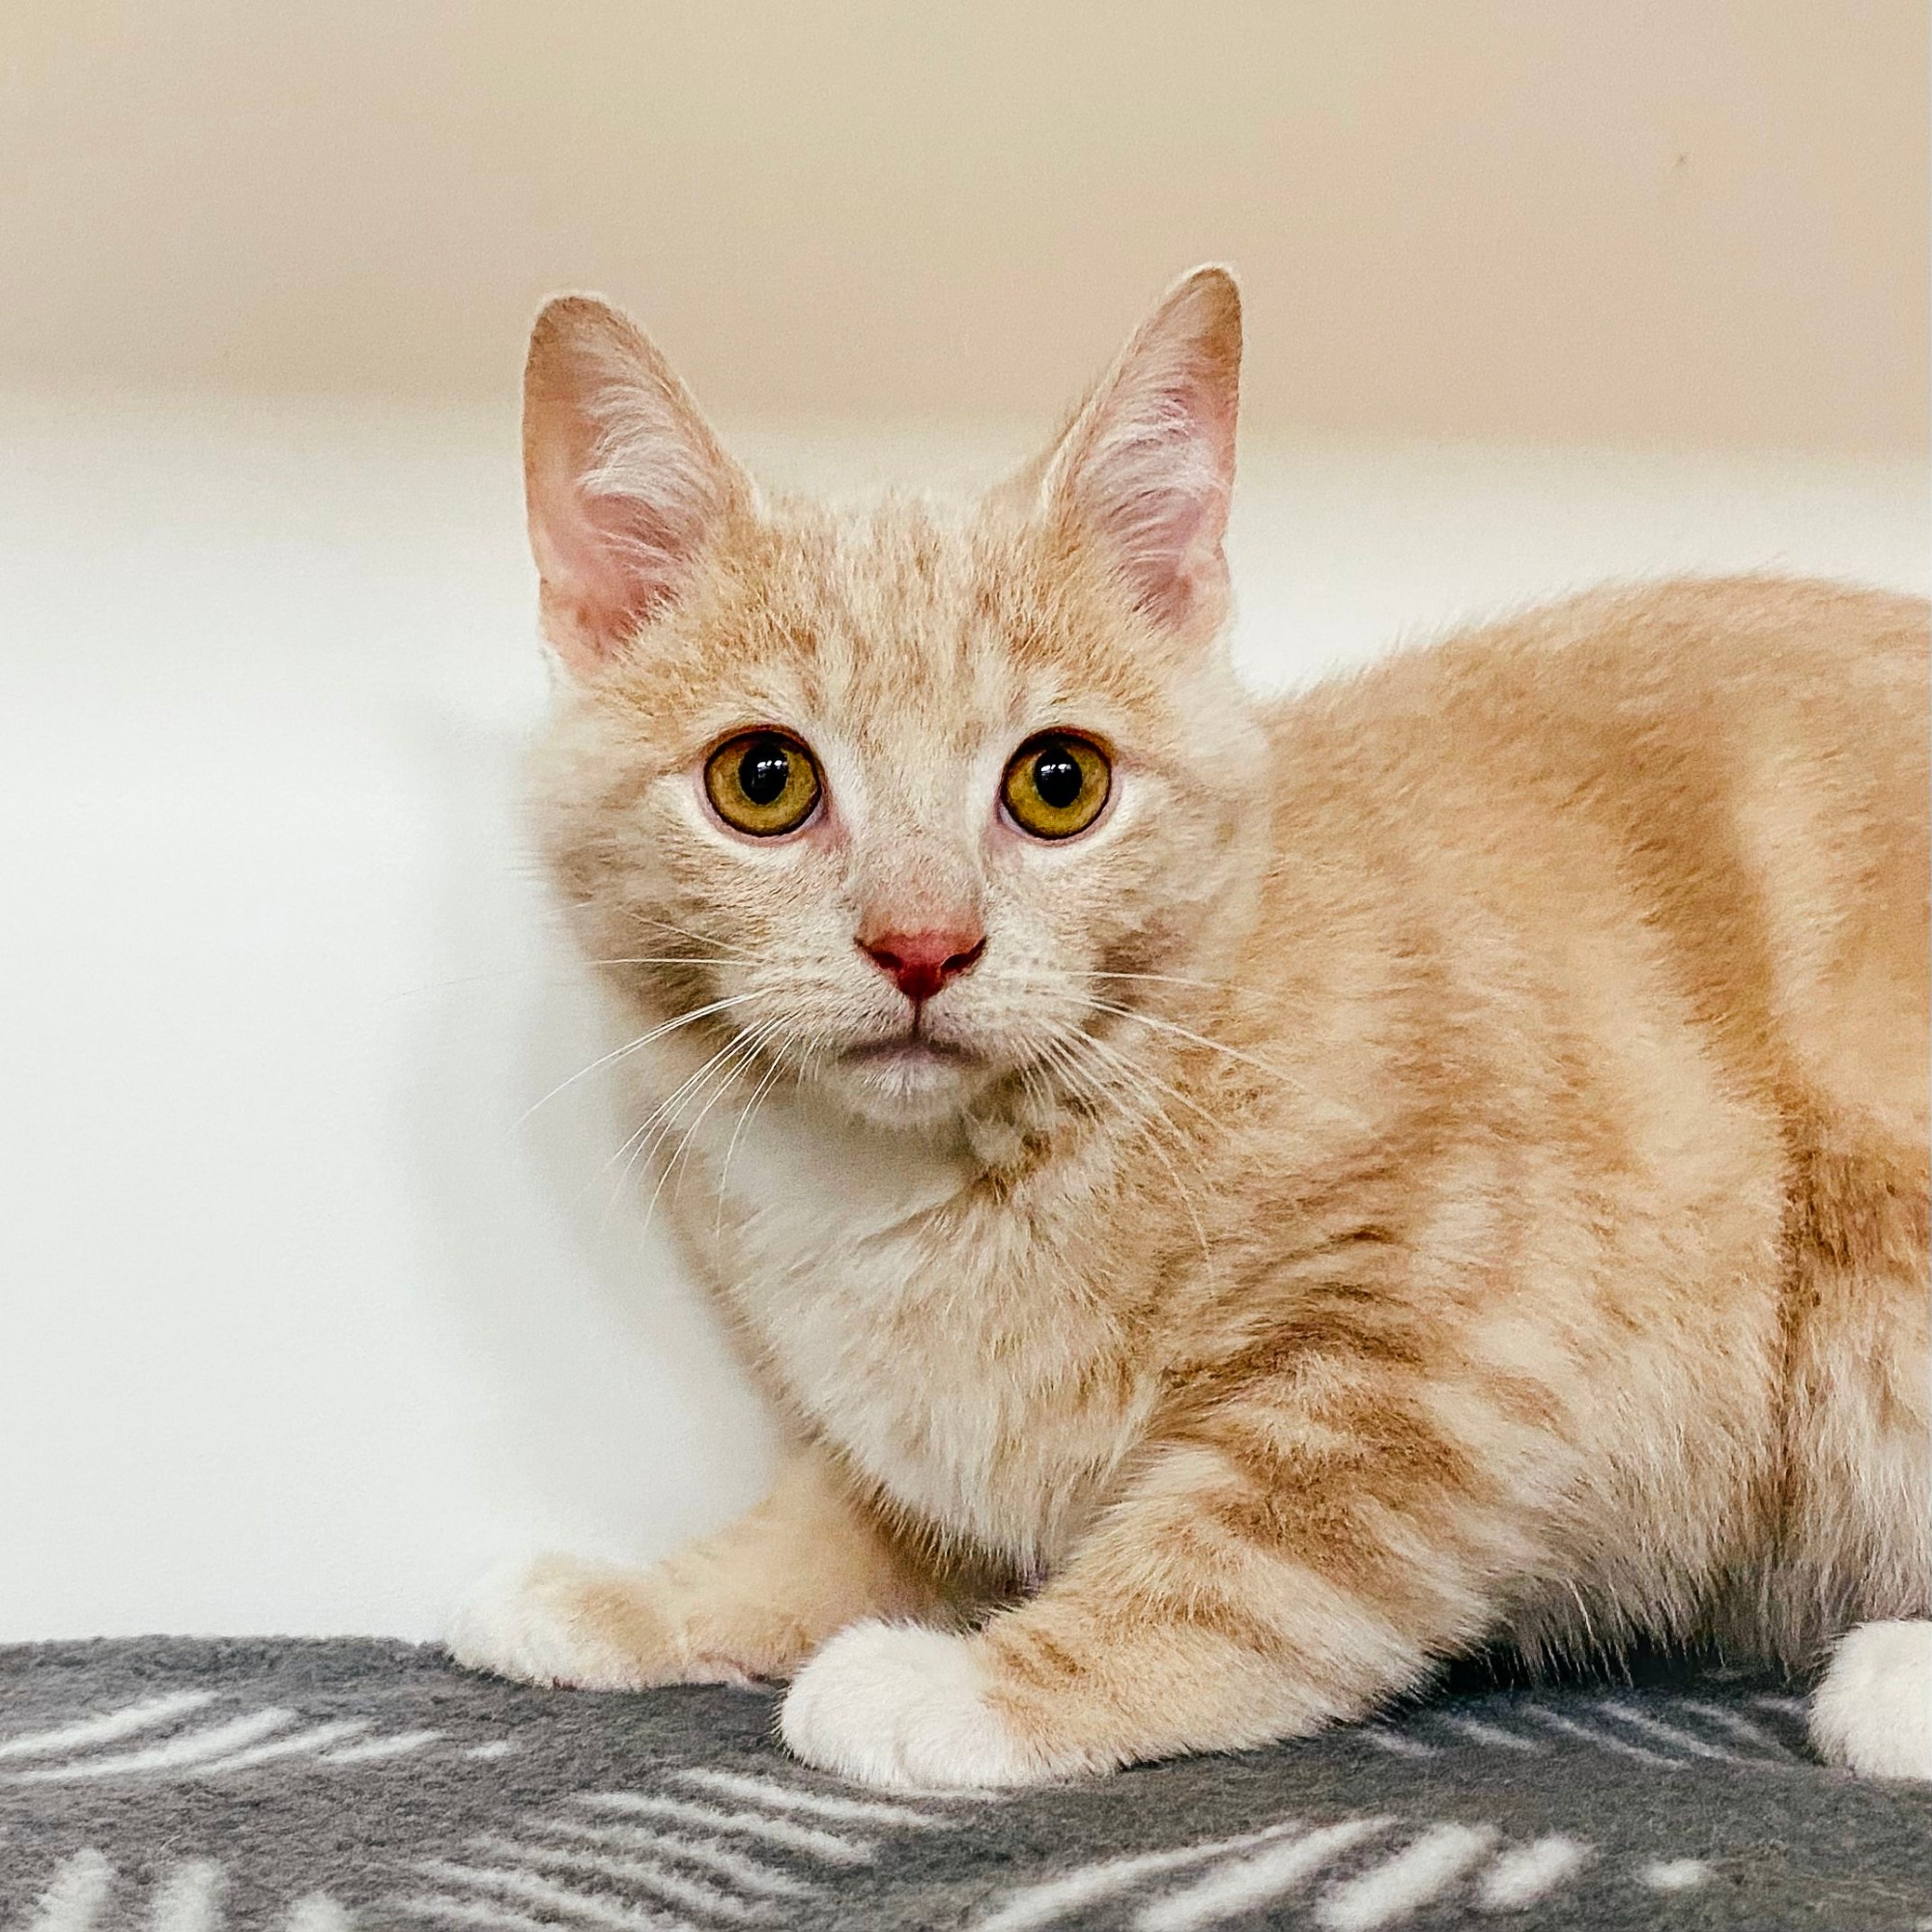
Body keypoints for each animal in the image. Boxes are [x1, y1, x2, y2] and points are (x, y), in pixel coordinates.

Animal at [448, 266, 1931, 1789]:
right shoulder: (920, 1443)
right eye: (763, 780)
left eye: (1057, 783)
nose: (923, 943)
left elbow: (1246, 1558)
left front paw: (976, 1686)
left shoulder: (1462, 1345)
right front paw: (642, 1595)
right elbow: (846, 1516)